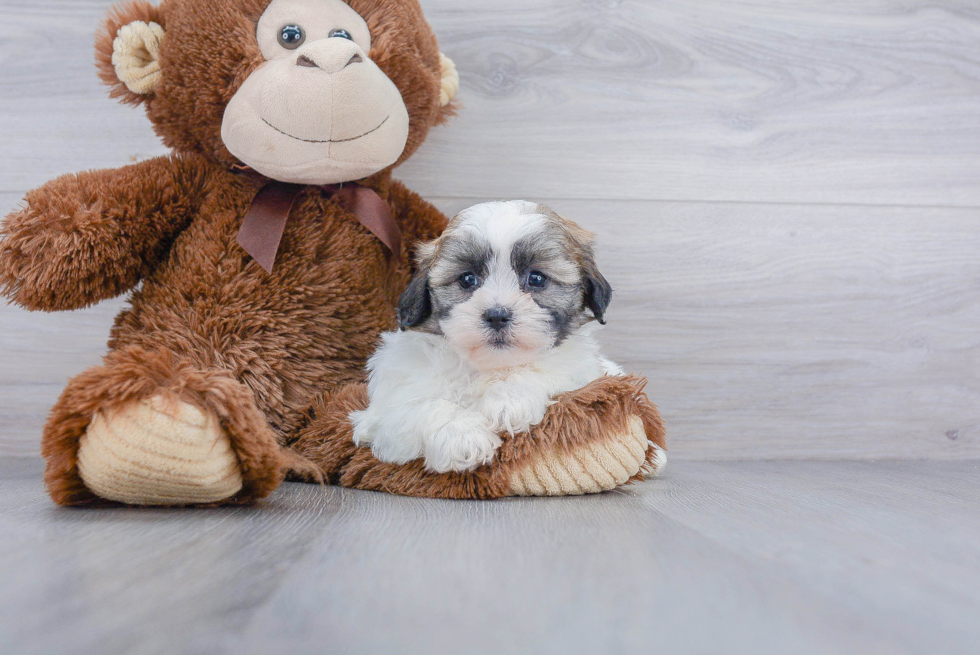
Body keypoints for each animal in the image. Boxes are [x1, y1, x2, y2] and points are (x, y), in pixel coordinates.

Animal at [348, 200, 624, 472]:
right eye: (467, 279)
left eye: (536, 278)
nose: (497, 315)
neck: (488, 366)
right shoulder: (384, 414)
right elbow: (423, 405)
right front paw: (463, 436)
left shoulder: (581, 373)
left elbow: (545, 371)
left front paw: (508, 400)